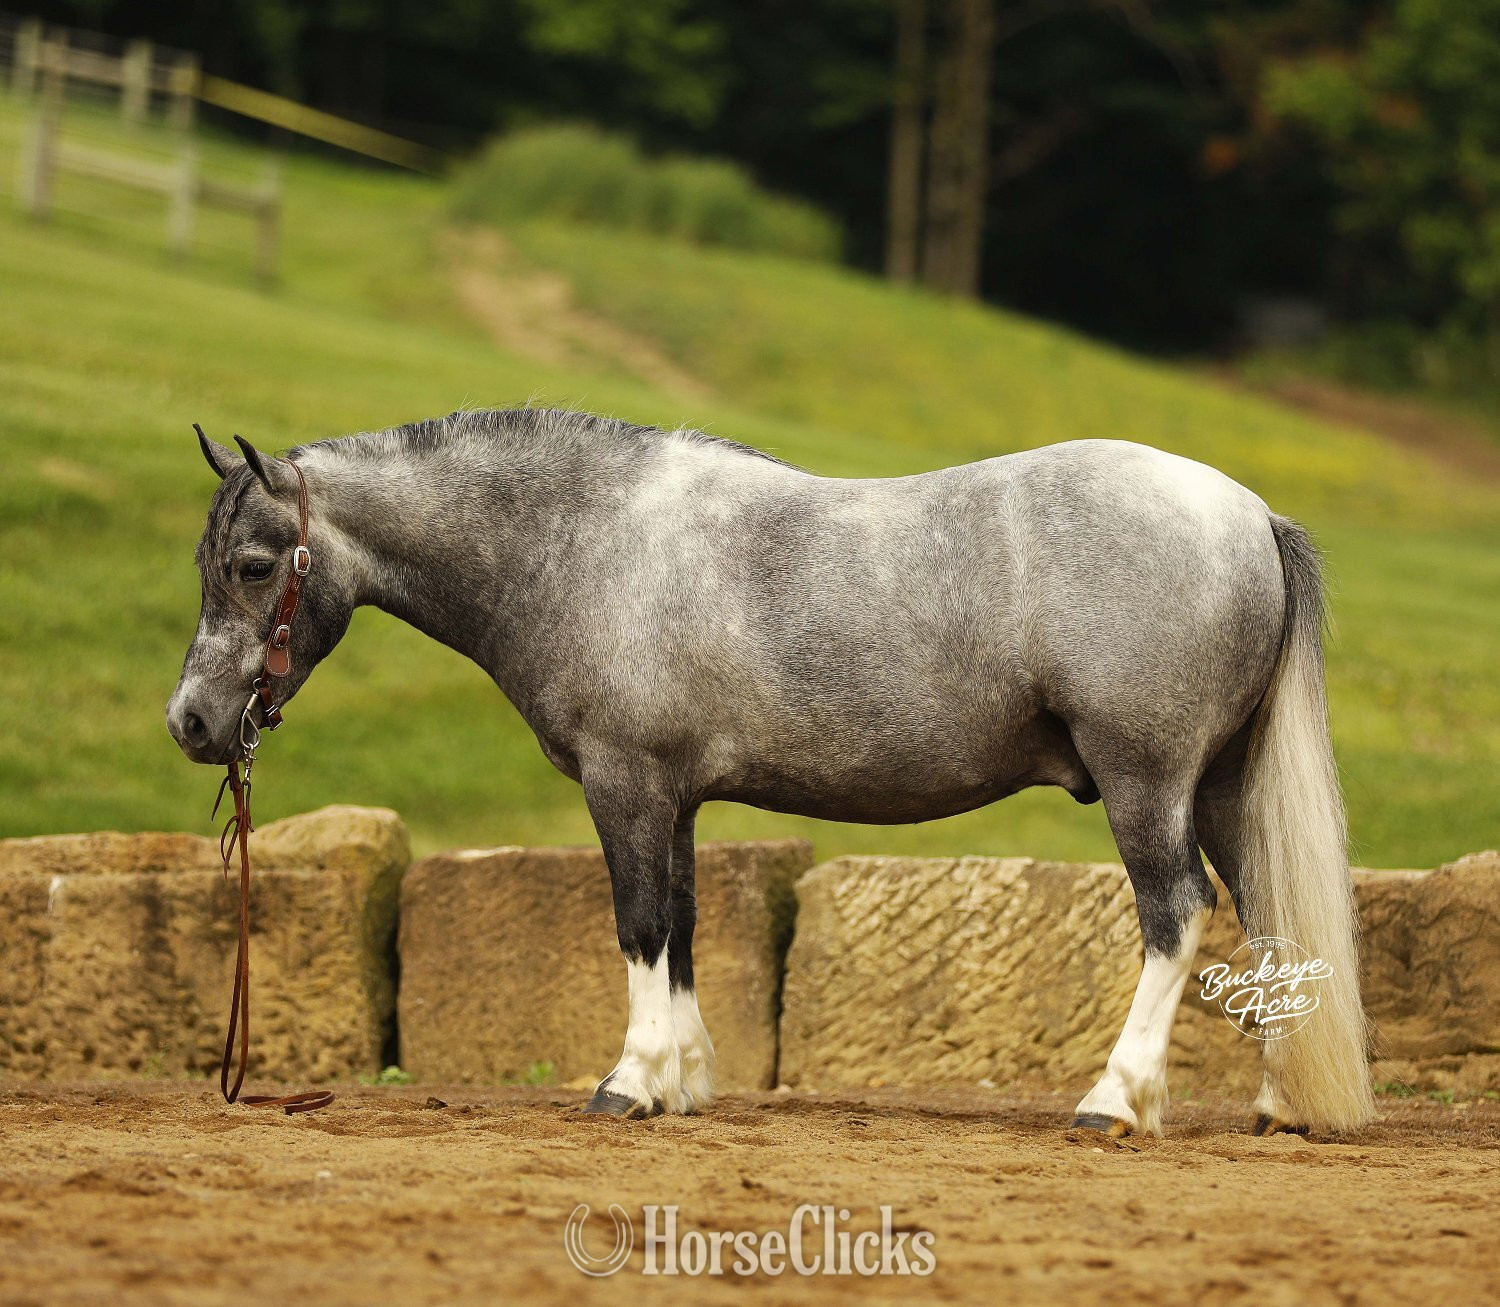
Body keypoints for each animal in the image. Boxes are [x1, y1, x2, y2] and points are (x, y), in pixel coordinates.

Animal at [167, 407, 1374, 1136]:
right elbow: (685, 926)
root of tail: (1249, 513)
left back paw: (1114, 1101)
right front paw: (684, 1081)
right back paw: (1279, 1101)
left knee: (1178, 914)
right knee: (1267, 917)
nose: (192, 721)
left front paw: (632, 1082)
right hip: (1220, 789)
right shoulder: (677, 798)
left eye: (255, 565)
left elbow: (639, 923)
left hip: (1147, 784)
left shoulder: (627, 783)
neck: (587, 541)